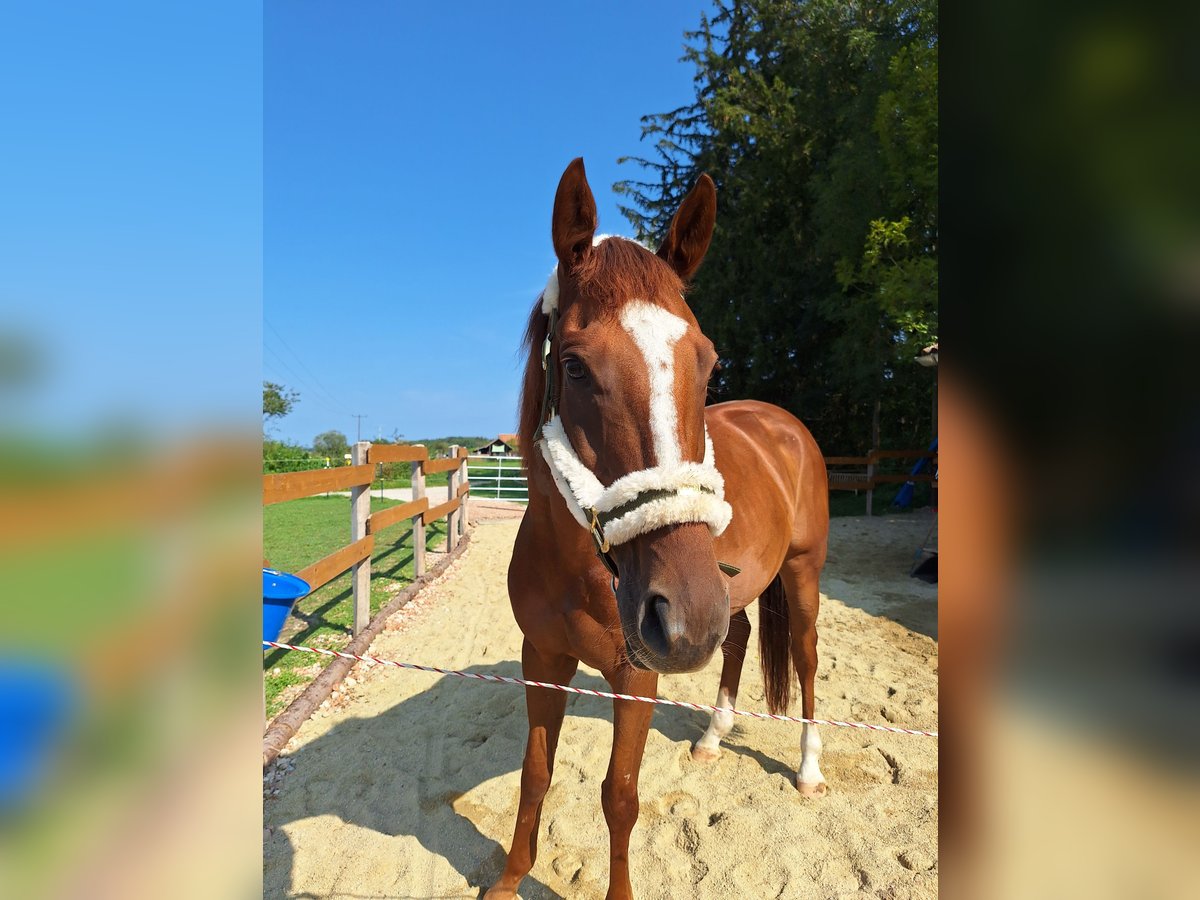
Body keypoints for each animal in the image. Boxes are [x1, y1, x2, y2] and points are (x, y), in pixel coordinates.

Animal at [482, 160, 830, 900]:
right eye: (574, 364)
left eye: (709, 362)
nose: (684, 617)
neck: (578, 564)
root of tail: (783, 421)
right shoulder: (541, 658)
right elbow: (535, 776)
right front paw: (508, 880)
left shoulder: (634, 675)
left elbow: (619, 795)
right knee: (740, 639)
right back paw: (712, 737)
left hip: (800, 574)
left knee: (807, 659)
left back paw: (810, 770)